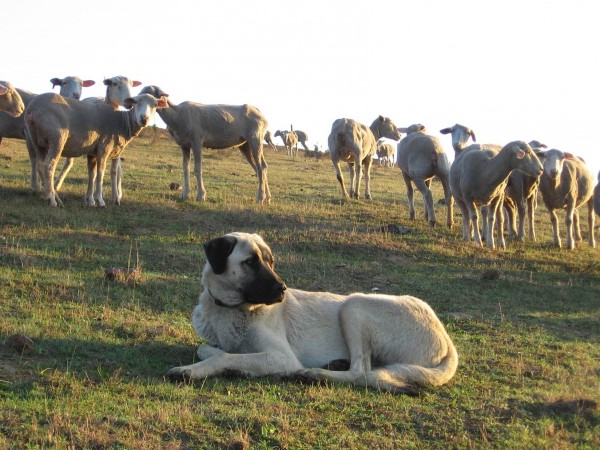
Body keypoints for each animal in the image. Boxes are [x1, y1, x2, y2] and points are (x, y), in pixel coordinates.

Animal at [24, 93, 165, 209]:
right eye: (136, 102)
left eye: (155, 105)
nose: (144, 119)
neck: (122, 122)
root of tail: (32, 110)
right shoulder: (104, 148)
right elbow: (100, 174)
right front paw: (100, 200)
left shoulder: (94, 152)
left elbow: (94, 174)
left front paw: (90, 200)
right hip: (56, 138)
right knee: (49, 166)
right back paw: (52, 200)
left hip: (36, 140)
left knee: (40, 165)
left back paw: (52, 197)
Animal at [139, 85, 270, 205]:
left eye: (151, 94)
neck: (177, 116)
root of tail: (261, 114)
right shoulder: (184, 145)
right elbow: (185, 169)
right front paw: (185, 194)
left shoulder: (197, 142)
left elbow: (197, 169)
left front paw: (201, 196)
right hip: (245, 144)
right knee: (261, 168)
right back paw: (267, 198)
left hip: (255, 139)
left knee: (260, 168)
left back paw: (260, 198)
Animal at [166, 232, 458, 394]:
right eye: (251, 262)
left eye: (271, 262)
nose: (283, 289)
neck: (230, 310)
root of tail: (446, 339)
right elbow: (210, 349)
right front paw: (229, 361)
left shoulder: (282, 358)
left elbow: (223, 356)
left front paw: (193, 370)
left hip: (354, 305)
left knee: (361, 372)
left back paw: (315, 374)